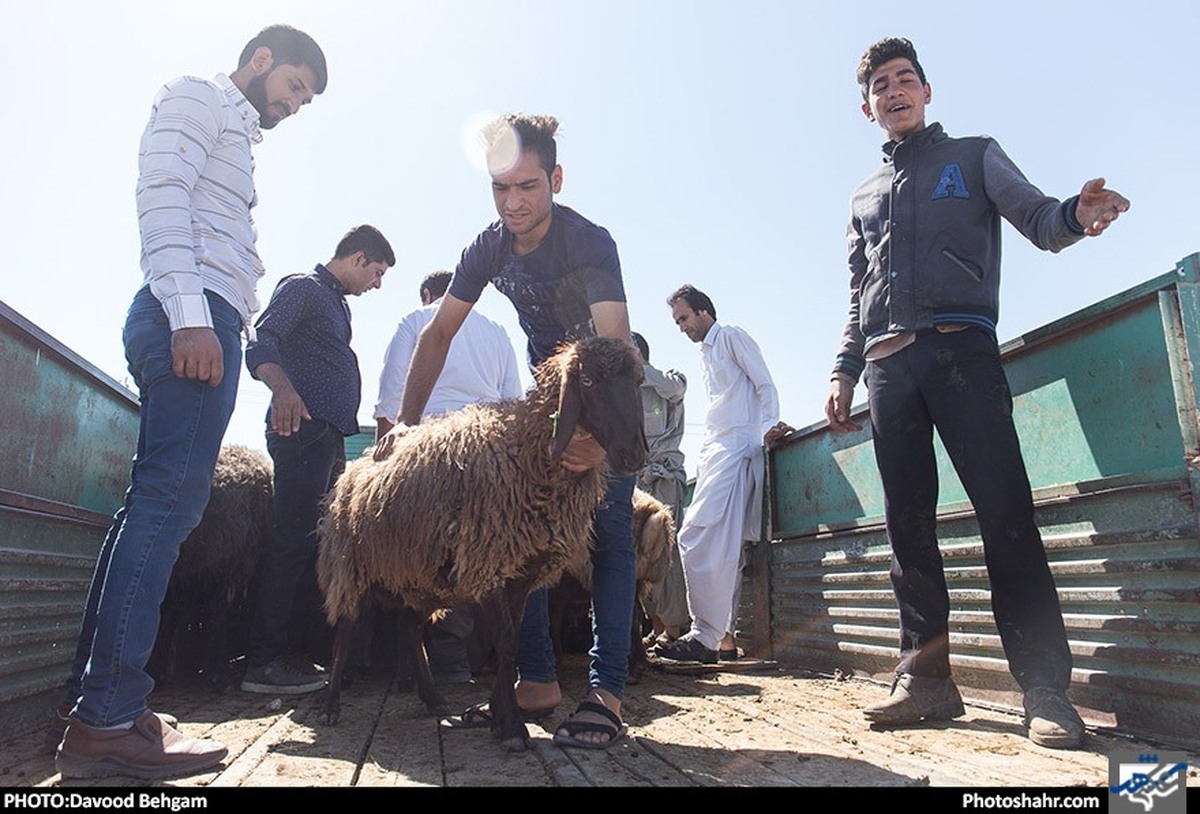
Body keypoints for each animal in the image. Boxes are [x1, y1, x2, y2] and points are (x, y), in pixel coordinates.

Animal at [314, 336, 643, 753]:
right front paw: (512, 728)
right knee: (347, 631)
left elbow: (510, 643)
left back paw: (432, 697)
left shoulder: (521, 573)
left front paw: (501, 718)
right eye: (587, 381)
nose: (634, 455)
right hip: (352, 569)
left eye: (637, 383)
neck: (525, 453)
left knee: (409, 629)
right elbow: (504, 640)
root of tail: (353, 469)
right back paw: (330, 705)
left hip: (422, 577)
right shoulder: (488, 563)